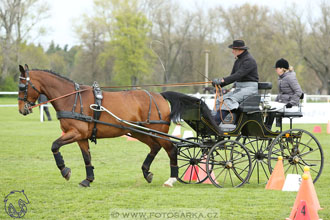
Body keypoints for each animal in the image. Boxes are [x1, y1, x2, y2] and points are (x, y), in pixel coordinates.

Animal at [18, 65, 180, 187]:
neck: (71, 98)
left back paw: (171, 179)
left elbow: (54, 145)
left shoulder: (75, 133)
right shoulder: (81, 137)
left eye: (22, 86)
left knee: (171, 149)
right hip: (139, 132)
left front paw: (65, 170)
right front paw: (88, 179)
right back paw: (146, 172)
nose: (22, 110)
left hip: (157, 132)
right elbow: (86, 157)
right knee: (155, 147)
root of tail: (160, 95)